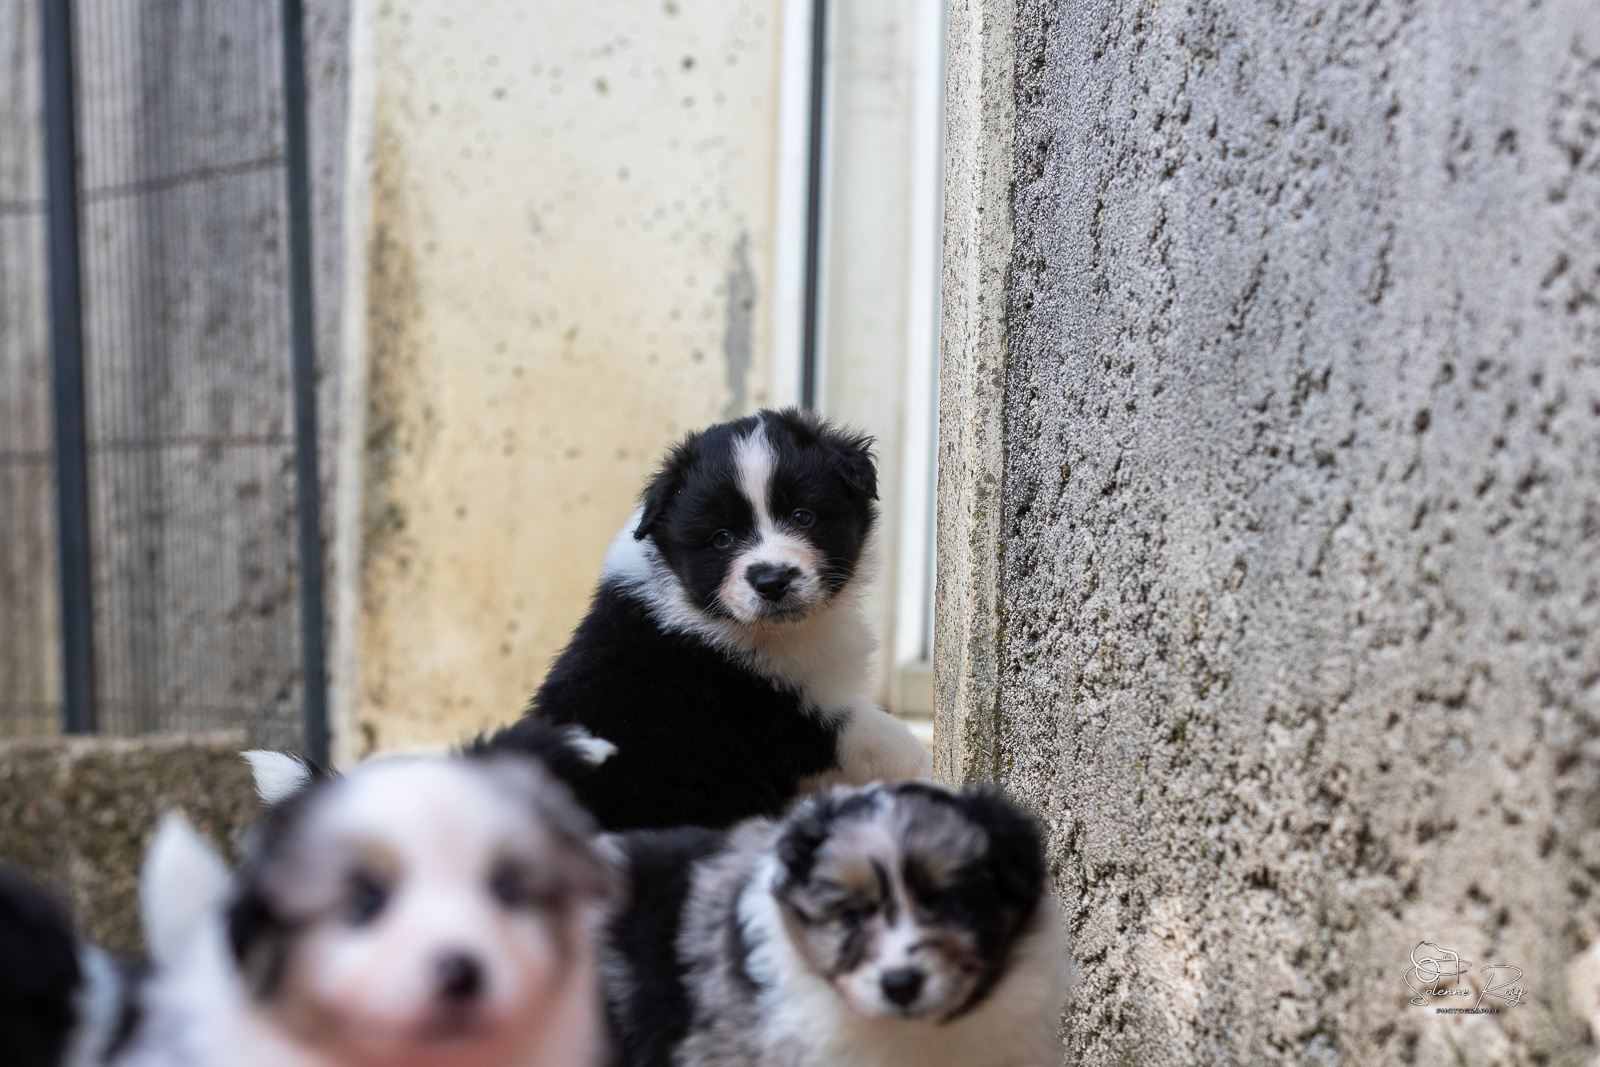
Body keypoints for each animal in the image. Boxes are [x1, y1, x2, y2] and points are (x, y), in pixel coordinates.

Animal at [482, 408, 932, 831]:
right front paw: (931, 772)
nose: (772, 581)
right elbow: (888, 741)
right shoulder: (790, 711)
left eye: (802, 516)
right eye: (721, 539)